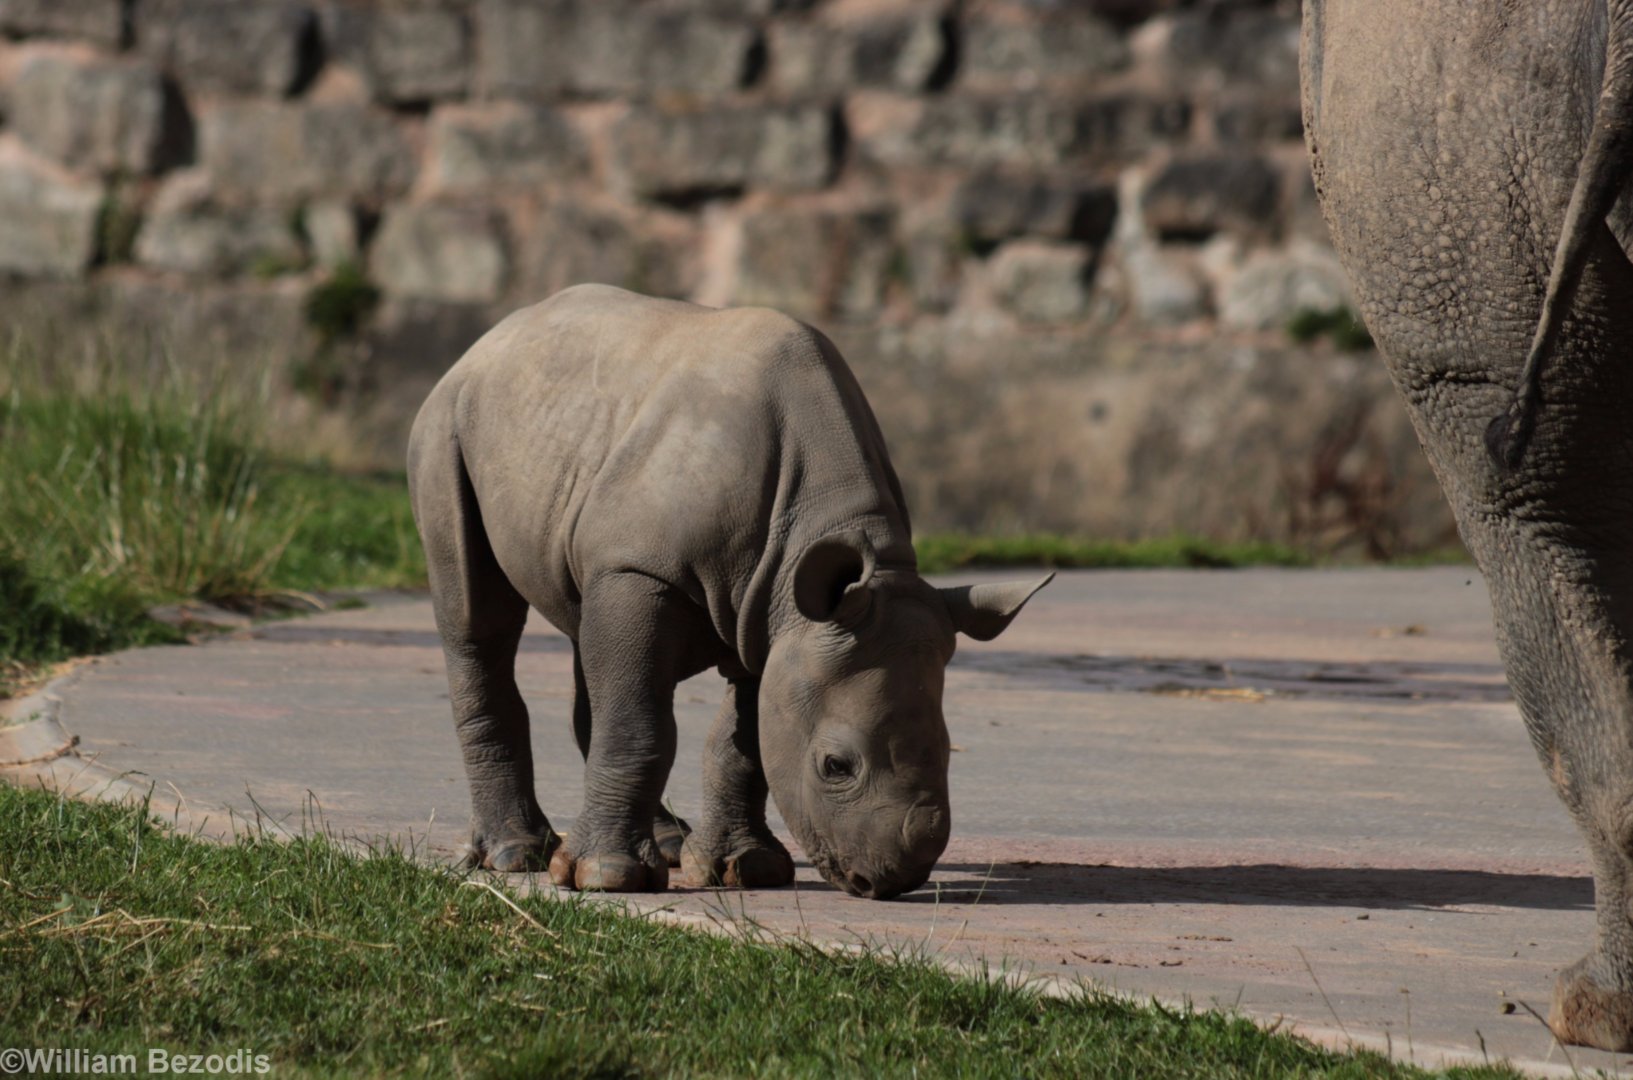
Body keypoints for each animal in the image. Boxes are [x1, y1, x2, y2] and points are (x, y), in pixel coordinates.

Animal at [407, 284, 1049, 899]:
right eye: (835, 766)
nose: (895, 880)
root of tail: (492, 337)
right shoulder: (645, 569)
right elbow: (642, 723)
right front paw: (605, 878)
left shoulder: (775, 609)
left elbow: (743, 739)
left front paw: (747, 869)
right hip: (447, 424)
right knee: (481, 622)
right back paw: (520, 857)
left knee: (590, 638)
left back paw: (666, 845)